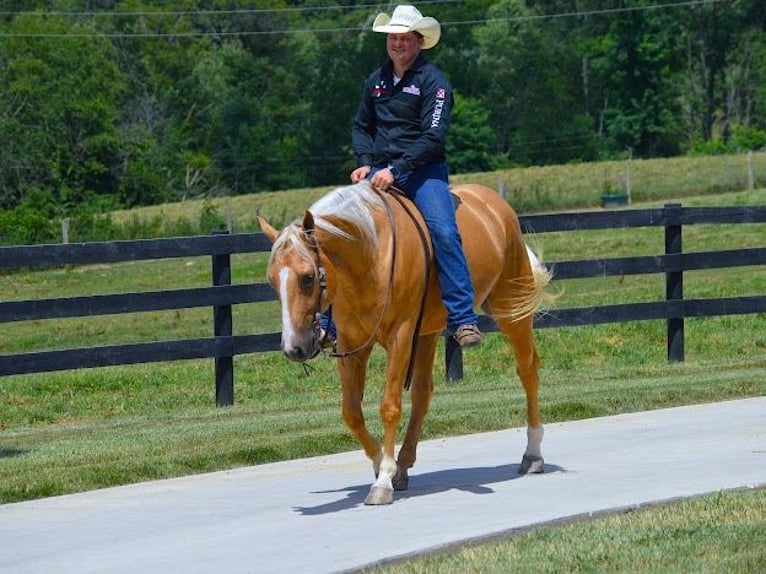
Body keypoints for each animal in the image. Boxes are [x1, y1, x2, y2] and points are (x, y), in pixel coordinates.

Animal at [260, 182, 556, 506]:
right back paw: (404, 462)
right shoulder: (353, 344)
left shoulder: (400, 337)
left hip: (511, 308)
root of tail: (493, 201)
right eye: (272, 281)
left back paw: (532, 454)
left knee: (528, 370)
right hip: (427, 334)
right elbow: (351, 412)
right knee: (423, 393)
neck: (370, 255)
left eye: (307, 277)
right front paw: (382, 464)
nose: (294, 348)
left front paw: (383, 481)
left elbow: (389, 406)